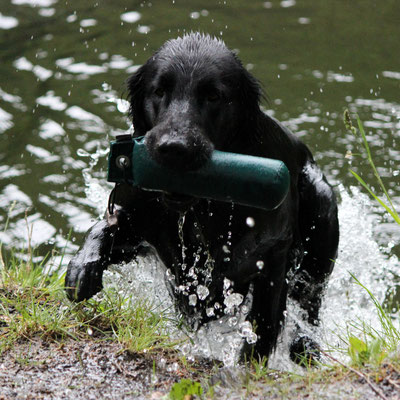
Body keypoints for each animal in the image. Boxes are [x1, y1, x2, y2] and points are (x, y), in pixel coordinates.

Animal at [65, 32, 338, 360]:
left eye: (213, 96)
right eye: (159, 90)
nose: (173, 147)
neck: (199, 209)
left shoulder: (274, 253)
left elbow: (263, 323)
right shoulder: (139, 227)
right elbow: (103, 229)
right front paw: (82, 267)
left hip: (321, 213)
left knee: (310, 305)